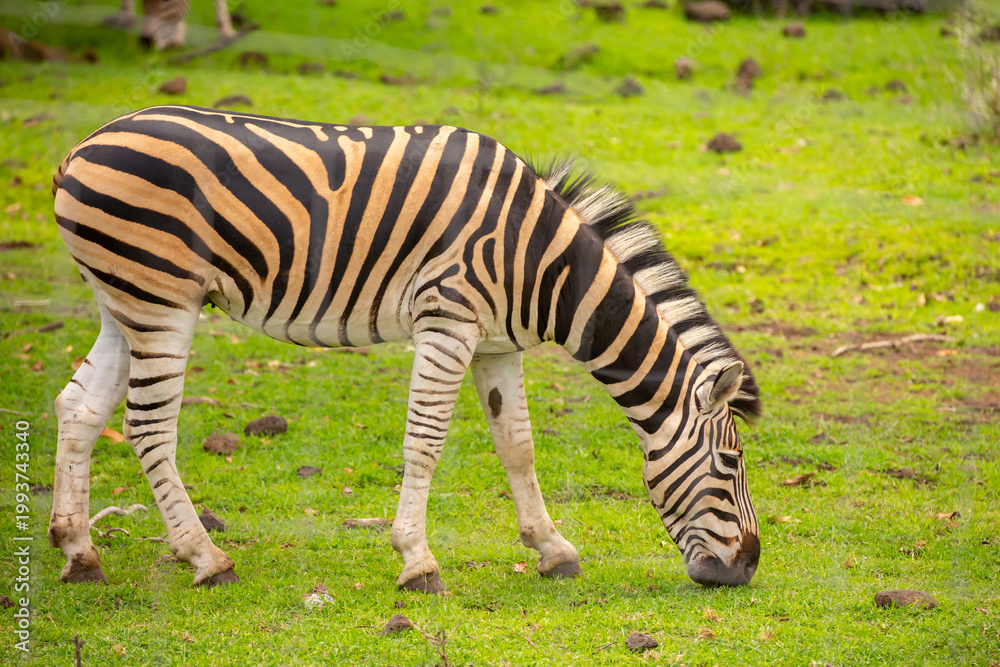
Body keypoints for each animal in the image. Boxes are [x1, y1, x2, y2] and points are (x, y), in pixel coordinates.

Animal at [49, 105, 762, 592]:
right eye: (730, 464)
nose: (745, 571)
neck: (544, 262)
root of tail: (82, 146)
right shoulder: (447, 321)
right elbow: (425, 441)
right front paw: (418, 563)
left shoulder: (497, 345)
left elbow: (518, 445)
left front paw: (552, 549)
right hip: (161, 300)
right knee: (147, 427)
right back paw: (205, 558)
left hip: (123, 302)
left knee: (78, 407)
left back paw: (78, 551)